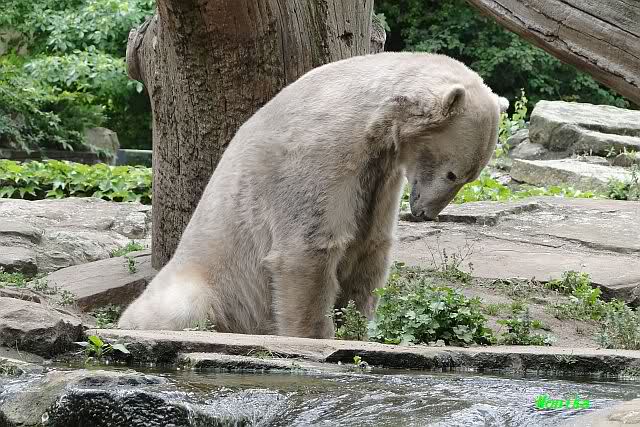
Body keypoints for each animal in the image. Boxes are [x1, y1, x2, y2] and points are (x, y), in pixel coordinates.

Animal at [118, 52, 506, 338]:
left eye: (471, 178)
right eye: (453, 174)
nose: (426, 212)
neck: (370, 117)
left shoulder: (382, 175)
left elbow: (370, 249)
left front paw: (358, 328)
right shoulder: (321, 151)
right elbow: (308, 249)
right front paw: (316, 335)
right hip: (207, 280)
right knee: (179, 306)